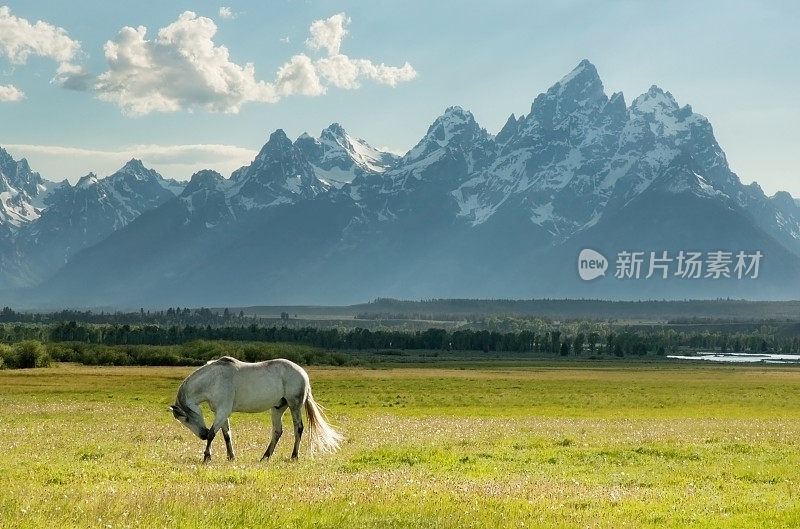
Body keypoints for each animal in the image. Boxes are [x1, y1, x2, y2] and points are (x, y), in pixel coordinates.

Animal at [169, 354, 344, 462]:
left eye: (186, 419)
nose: (202, 435)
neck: (213, 380)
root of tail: (302, 373)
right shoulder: (221, 413)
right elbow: (226, 435)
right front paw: (231, 457)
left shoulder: (222, 412)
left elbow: (214, 433)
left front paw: (207, 456)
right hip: (278, 408)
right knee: (277, 431)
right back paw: (265, 457)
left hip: (294, 405)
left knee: (298, 428)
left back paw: (294, 456)